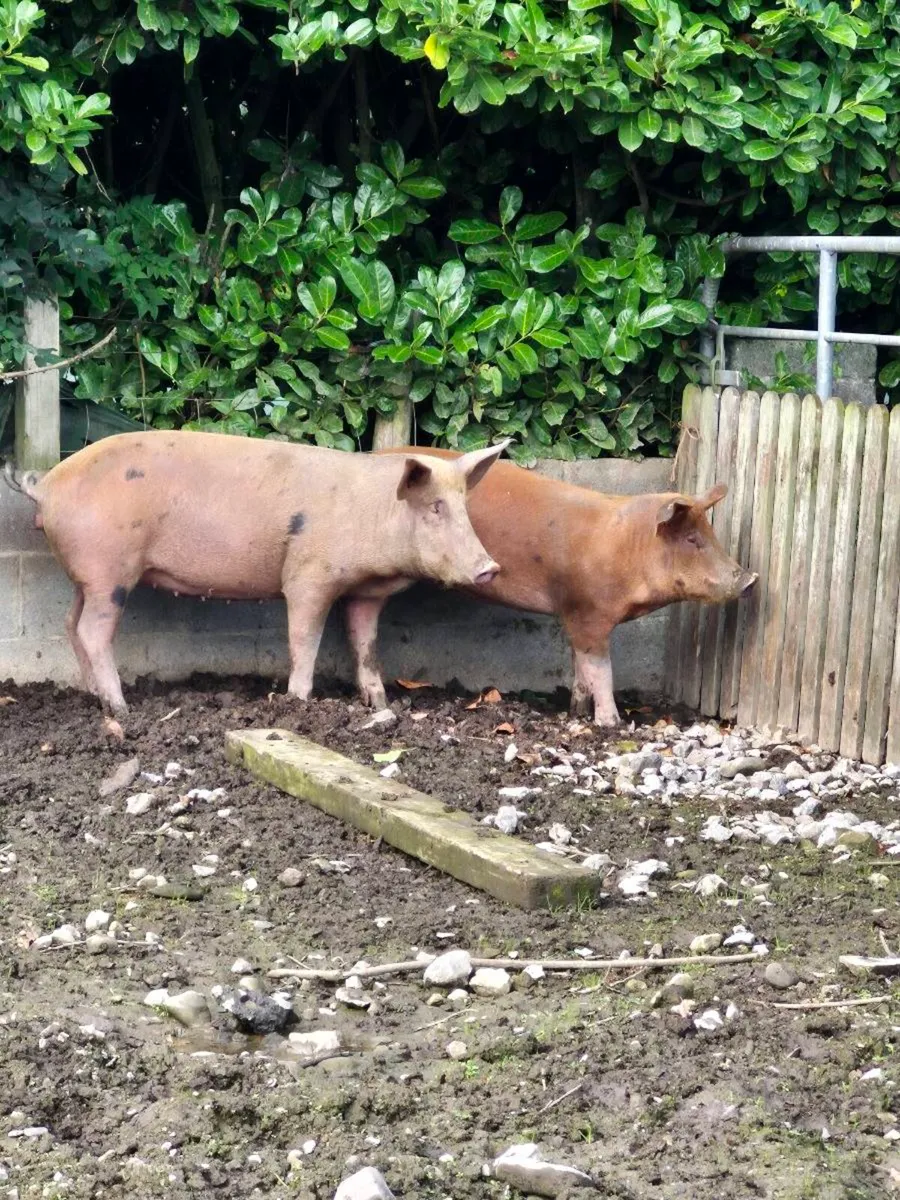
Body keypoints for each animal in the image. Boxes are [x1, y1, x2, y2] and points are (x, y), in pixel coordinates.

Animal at [6, 431, 510, 726]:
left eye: (462, 506)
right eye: (435, 508)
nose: (489, 567)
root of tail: (46, 484)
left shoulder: (364, 595)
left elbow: (365, 645)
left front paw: (381, 705)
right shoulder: (308, 575)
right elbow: (304, 639)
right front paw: (299, 703)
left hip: (86, 577)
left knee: (70, 626)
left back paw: (94, 695)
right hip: (109, 571)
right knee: (93, 631)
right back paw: (121, 708)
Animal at [343, 448, 758, 725]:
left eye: (711, 534)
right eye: (692, 539)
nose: (750, 578)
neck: (626, 549)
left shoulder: (574, 613)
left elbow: (580, 666)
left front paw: (577, 711)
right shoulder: (589, 611)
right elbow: (600, 668)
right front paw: (611, 723)